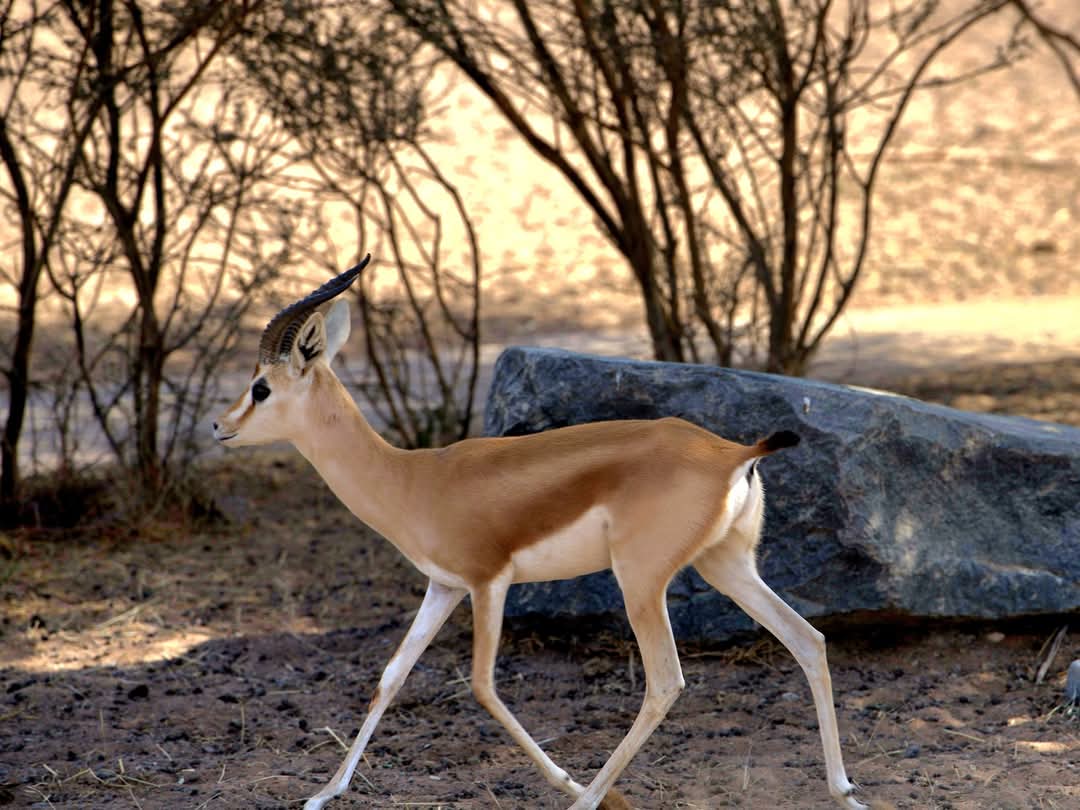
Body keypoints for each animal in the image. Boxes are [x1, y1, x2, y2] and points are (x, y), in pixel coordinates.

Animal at [212, 257, 869, 810]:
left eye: (262, 387)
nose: (219, 426)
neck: (413, 478)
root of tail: (733, 452)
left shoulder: (488, 582)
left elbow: (482, 686)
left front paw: (569, 783)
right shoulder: (444, 587)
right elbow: (390, 677)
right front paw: (323, 794)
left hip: (640, 581)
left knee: (665, 681)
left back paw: (589, 800)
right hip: (725, 565)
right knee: (808, 639)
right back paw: (843, 792)